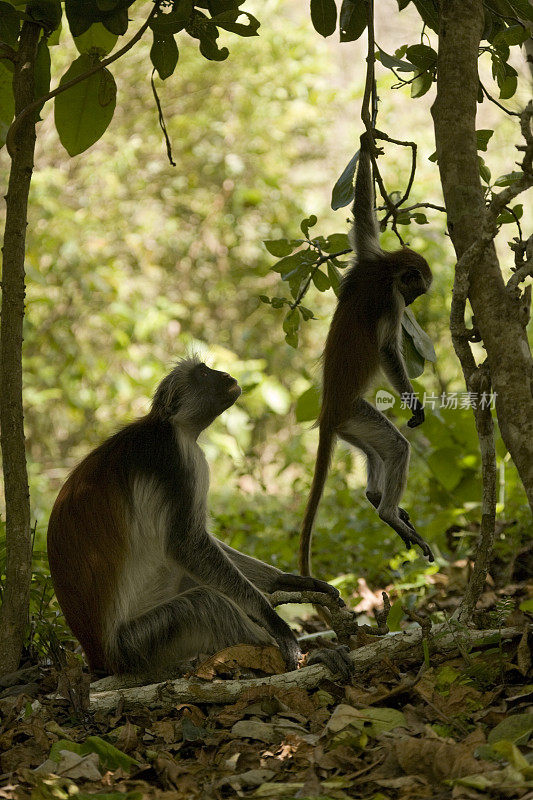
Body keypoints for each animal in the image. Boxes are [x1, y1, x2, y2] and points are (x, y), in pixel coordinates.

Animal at [300, 134, 432, 580]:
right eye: (415, 293)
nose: (416, 302)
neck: (385, 272)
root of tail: (328, 409)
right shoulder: (391, 299)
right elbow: (388, 350)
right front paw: (414, 405)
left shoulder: (369, 256)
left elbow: (361, 216)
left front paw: (367, 142)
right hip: (355, 413)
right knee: (396, 447)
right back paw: (388, 512)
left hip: (350, 425)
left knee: (376, 452)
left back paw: (377, 497)